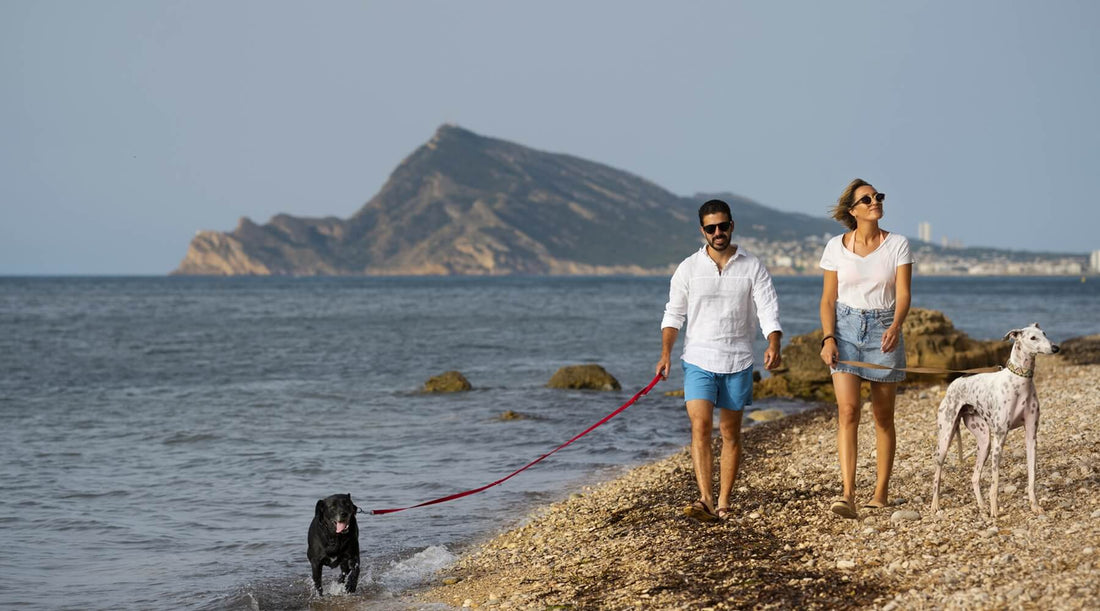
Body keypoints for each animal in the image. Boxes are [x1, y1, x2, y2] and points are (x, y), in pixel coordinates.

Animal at [932, 323, 1060, 519]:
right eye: (1033, 338)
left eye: (1044, 333)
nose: (1056, 348)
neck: (1020, 381)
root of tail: (955, 382)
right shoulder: (1000, 436)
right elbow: (995, 481)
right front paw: (995, 510)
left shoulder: (1031, 436)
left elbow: (1032, 475)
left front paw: (1034, 505)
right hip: (946, 437)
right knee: (937, 472)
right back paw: (935, 505)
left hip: (984, 441)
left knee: (974, 477)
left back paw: (982, 506)